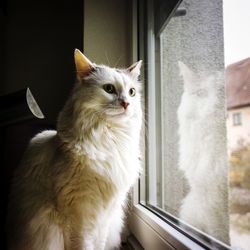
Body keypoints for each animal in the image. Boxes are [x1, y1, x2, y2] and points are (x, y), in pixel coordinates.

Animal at [6, 49, 143, 250]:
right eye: (109, 89)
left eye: (132, 92)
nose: (126, 103)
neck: (109, 139)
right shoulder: (79, 212)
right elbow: (83, 244)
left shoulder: (105, 215)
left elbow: (99, 244)